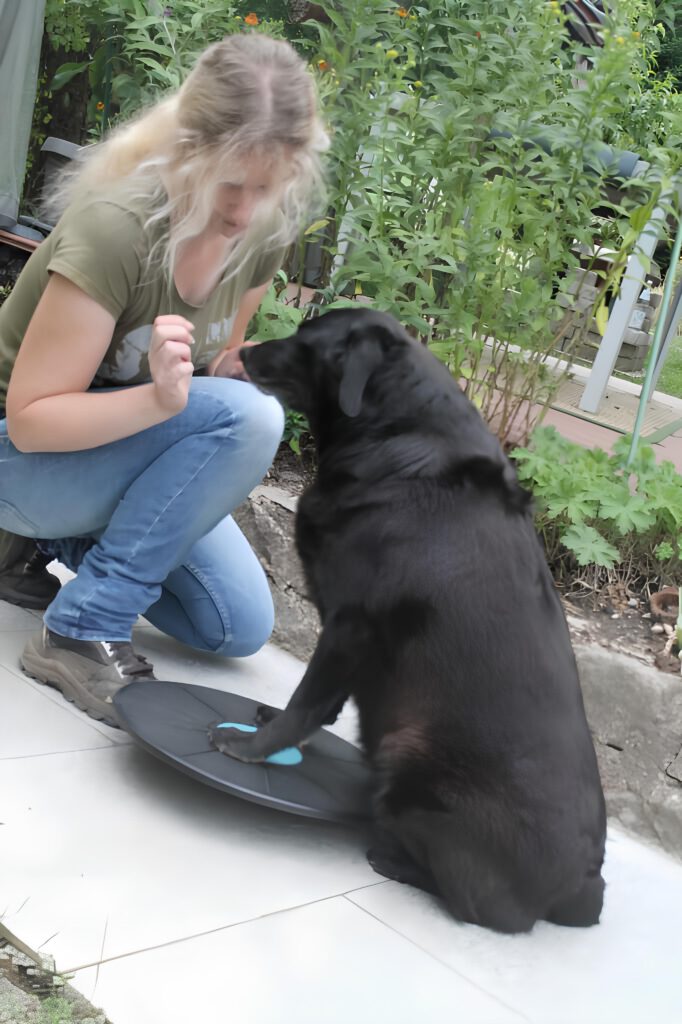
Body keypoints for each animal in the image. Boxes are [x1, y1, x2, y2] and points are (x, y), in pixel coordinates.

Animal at [209, 307, 606, 934]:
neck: (397, 440)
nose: (245, 352)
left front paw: (253, 747)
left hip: (409, 757)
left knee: (485, 910)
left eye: (305, 340)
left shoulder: (351, 624)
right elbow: (317, 703)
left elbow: (306, 700)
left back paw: (393, 859)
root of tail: (582, 886)